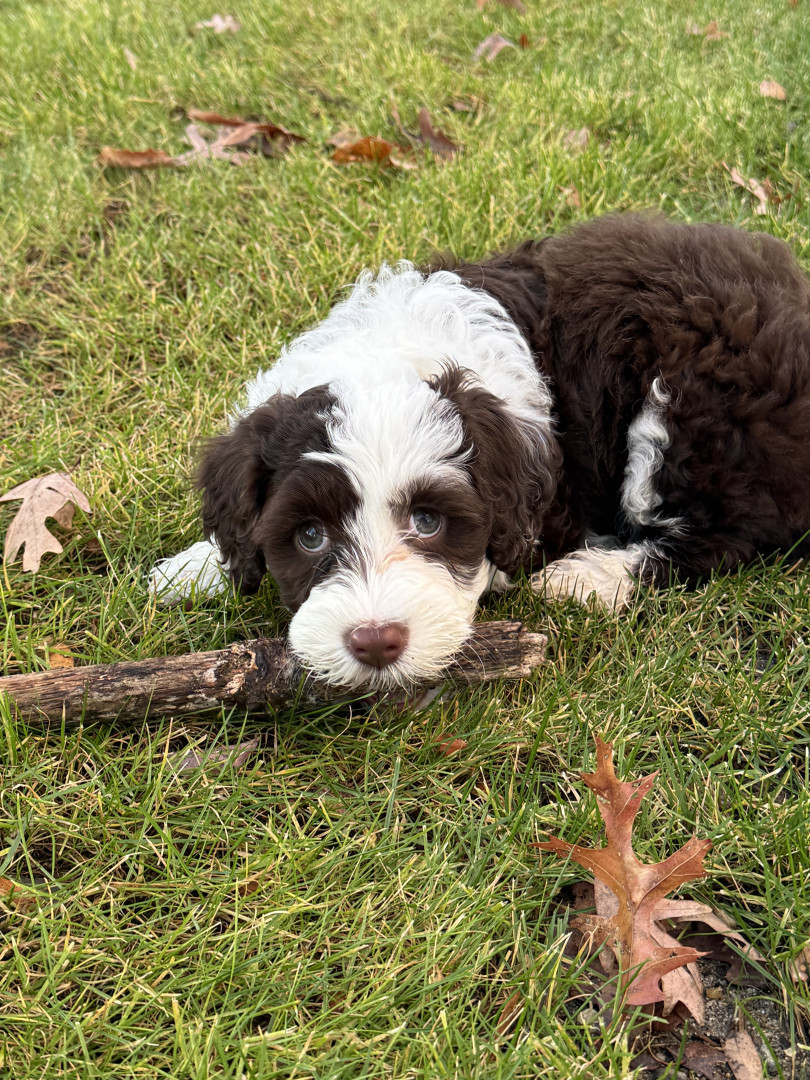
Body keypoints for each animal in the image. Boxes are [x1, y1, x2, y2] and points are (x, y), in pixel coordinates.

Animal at [150, 214, 810, 690]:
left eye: (429, 521)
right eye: (309, 535)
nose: (376, 641)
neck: (390, 354)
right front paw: (196, 566)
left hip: (691, 415)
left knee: (718, 532)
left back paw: (589, 578)